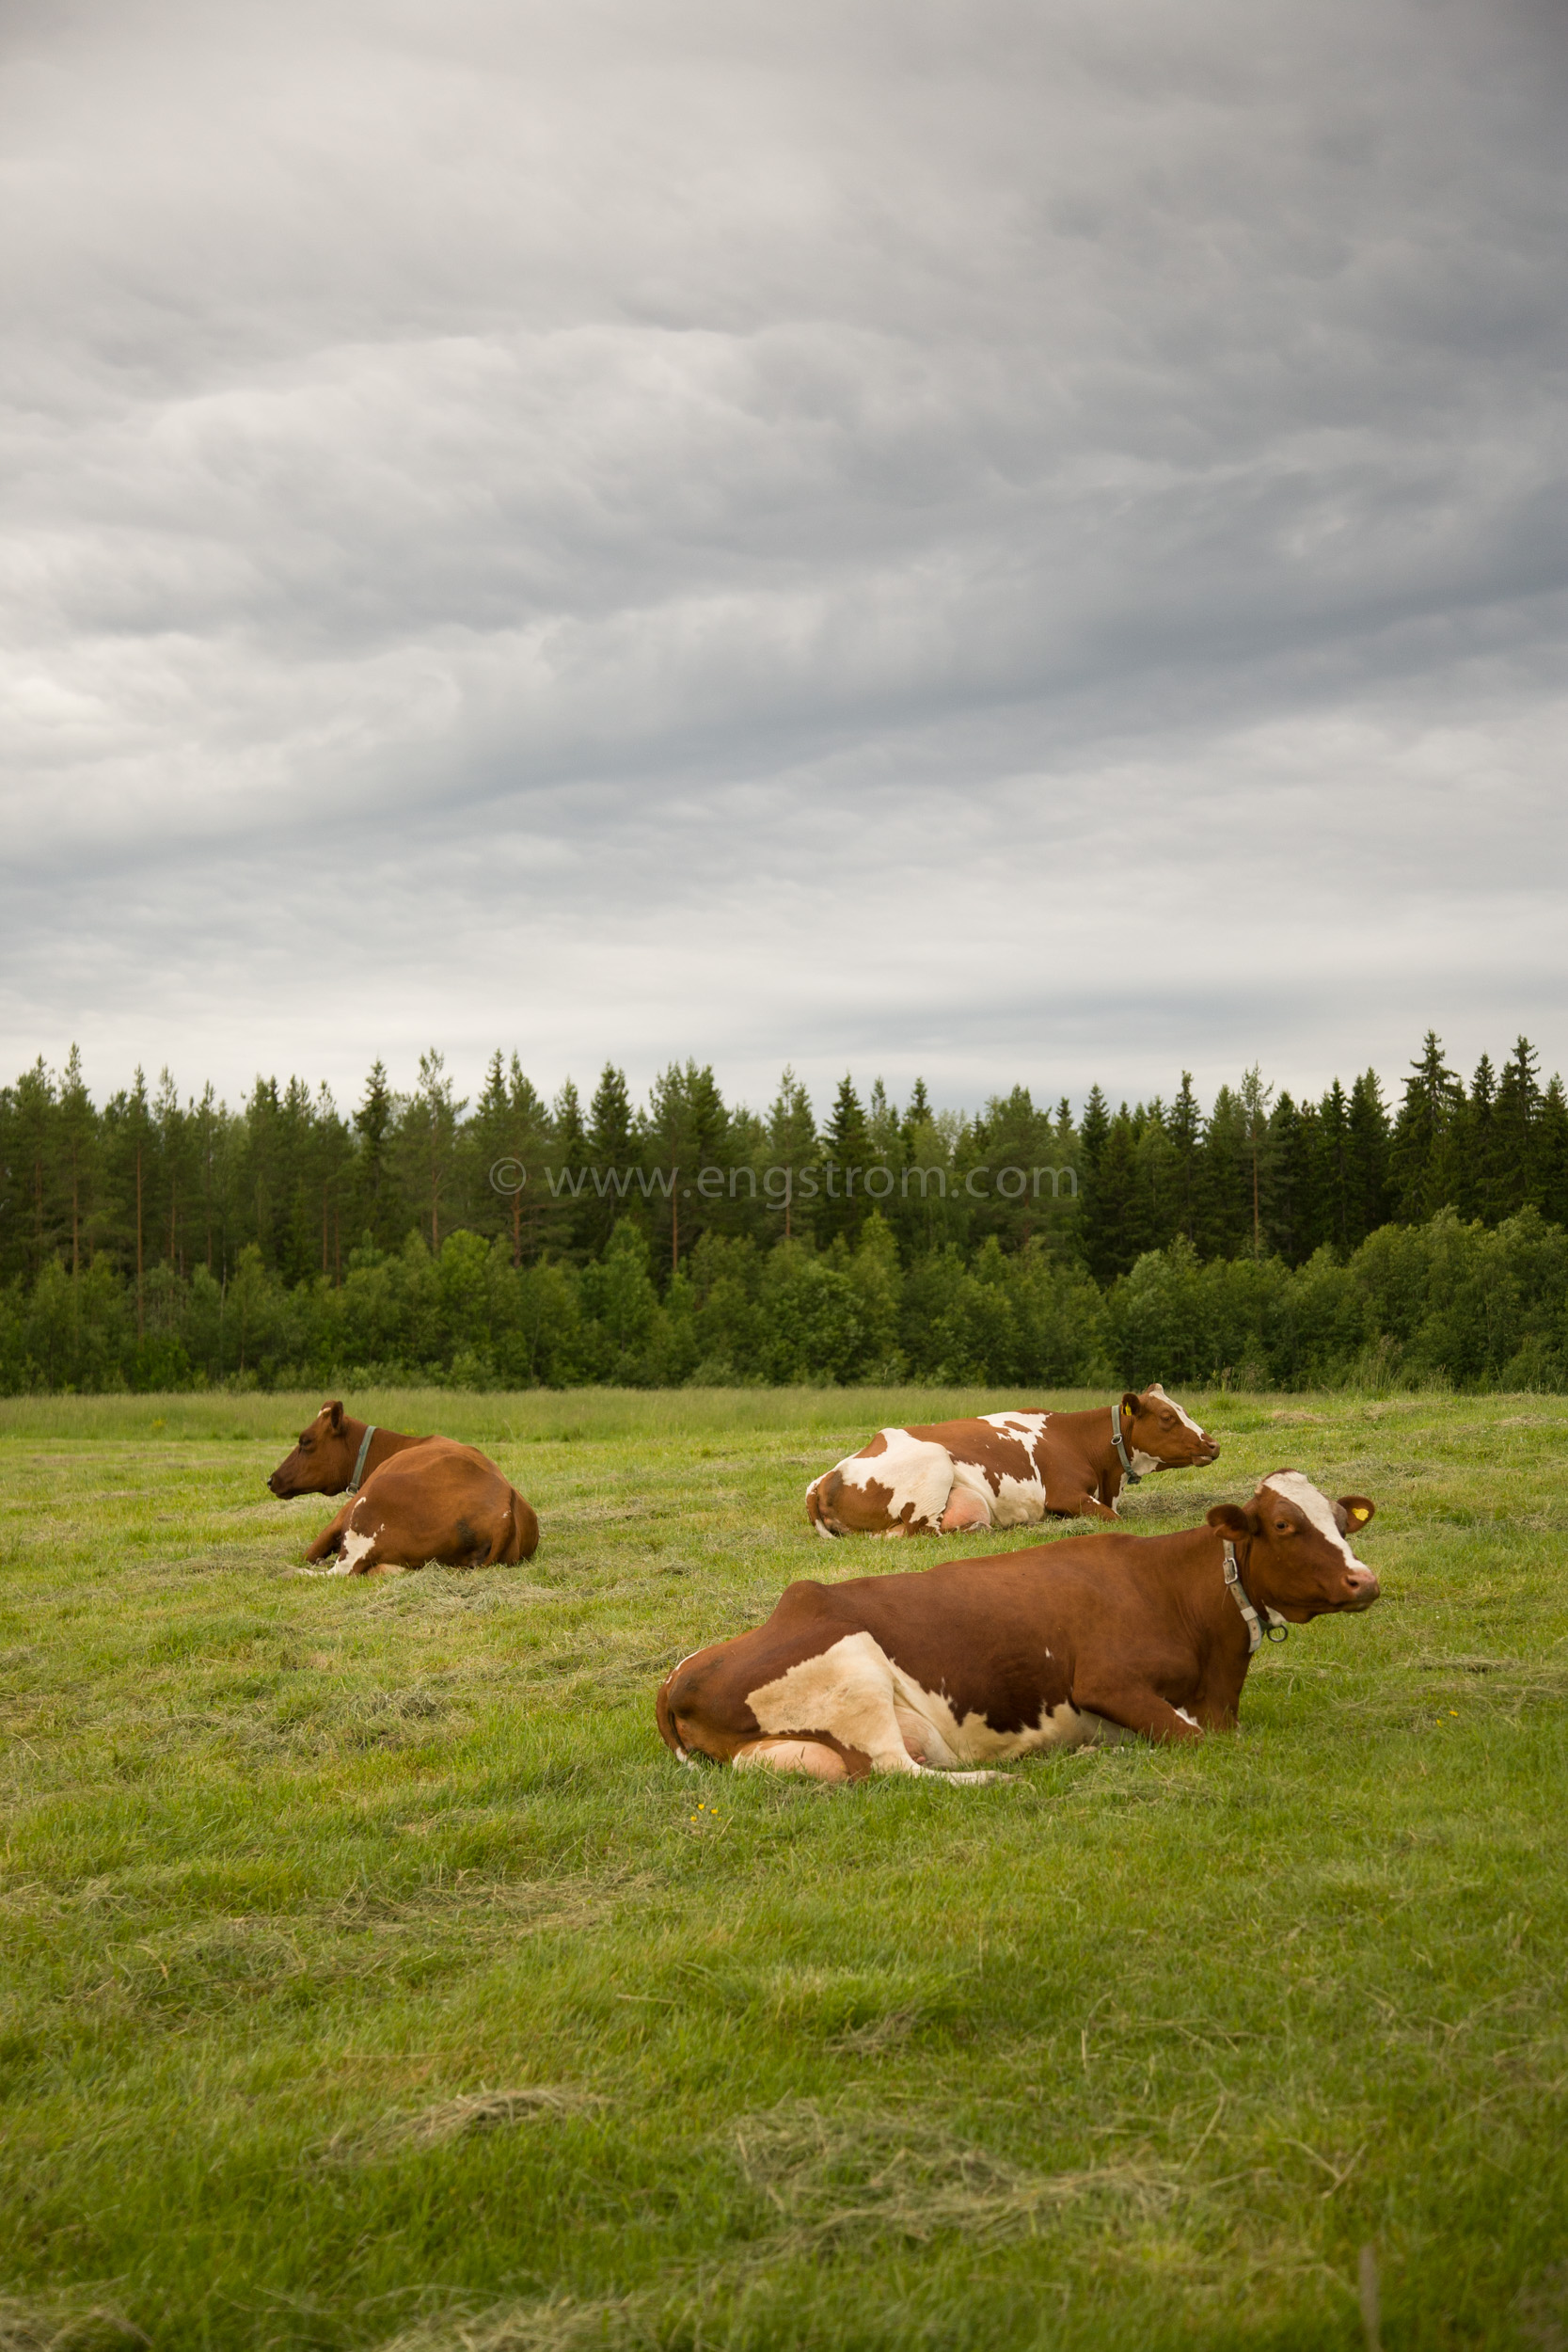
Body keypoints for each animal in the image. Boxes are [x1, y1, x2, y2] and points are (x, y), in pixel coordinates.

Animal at [262, 1402, 540, 1571]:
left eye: (305, 1441)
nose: (271, 1479)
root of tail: (505, 1508)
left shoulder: (344, 1512)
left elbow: (310, 1551)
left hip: (370, 1502)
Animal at [657, 1468, 1382, 1778]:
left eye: (1342, 1524)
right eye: (1284, 1525)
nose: (1364, 1581)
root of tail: (677, 1677)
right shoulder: (1106, 1681)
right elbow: (1194, 1739)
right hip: (855, 1673)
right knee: (897, 1771)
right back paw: (1002, 1776)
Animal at [808, 1374, 1222, 1543]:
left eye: (1183, 1410)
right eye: (1167, 1417)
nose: (1213, 1444)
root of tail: (825, 1479)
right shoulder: (1065, 1494)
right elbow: (1113, 1519)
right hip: (934, 1465)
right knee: (922, 1532)